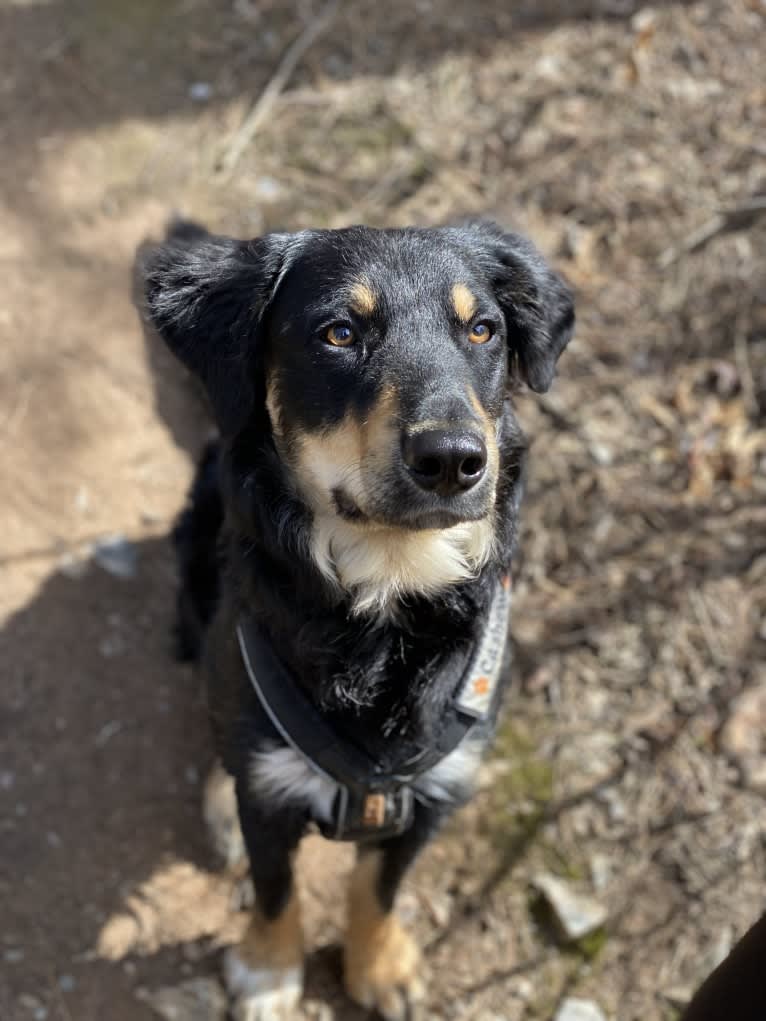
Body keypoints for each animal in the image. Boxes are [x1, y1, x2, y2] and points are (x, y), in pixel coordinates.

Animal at [136, 219, 576, 1016]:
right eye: (339, 333)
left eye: (482, 329)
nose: (453, 458)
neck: (389, 596)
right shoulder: (268, 787)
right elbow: (276, 885)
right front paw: (270, 971)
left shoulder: (432, 790)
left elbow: (380, 884)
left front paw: (379, 964)